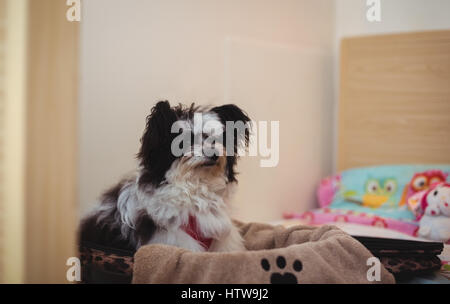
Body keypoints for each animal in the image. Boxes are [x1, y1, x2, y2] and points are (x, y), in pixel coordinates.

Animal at [79, 101, 251, 253]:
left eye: (216, 139)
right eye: (185, 141)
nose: (213, 154)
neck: (196, 185)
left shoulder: (223, 240)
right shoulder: (174, 237)